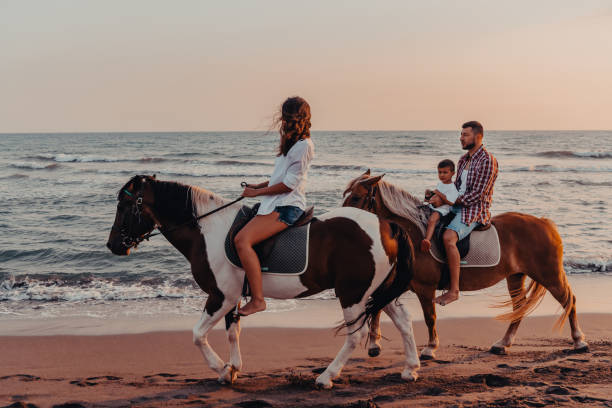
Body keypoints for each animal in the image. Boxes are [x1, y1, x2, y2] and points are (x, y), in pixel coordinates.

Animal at [106, 174, 420, 388]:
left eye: (124, 204)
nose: (113, 245)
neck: (208, 230)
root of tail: (386, 225)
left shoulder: (221, 296)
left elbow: (197, 335)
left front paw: (221, 369)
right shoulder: (233, 298)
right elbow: (233, 332)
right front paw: (233, 368)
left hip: (353, 293)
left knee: (355, 335)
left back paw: (326, 377)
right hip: (375, 291)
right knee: (404, 321)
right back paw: (411, 368)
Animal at [344, 170, 588, 360]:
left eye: (356, 198)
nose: (343, 221)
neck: (415, 235)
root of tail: (544, 223)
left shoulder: (425, 287)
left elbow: (429, 316)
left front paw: (430, 348)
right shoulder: (403, 282)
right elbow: (378, 307)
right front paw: (374, 345)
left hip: (549, 274)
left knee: (568, 300)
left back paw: (579, 342)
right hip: (516, 276)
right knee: (519, 308)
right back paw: (503, 344)